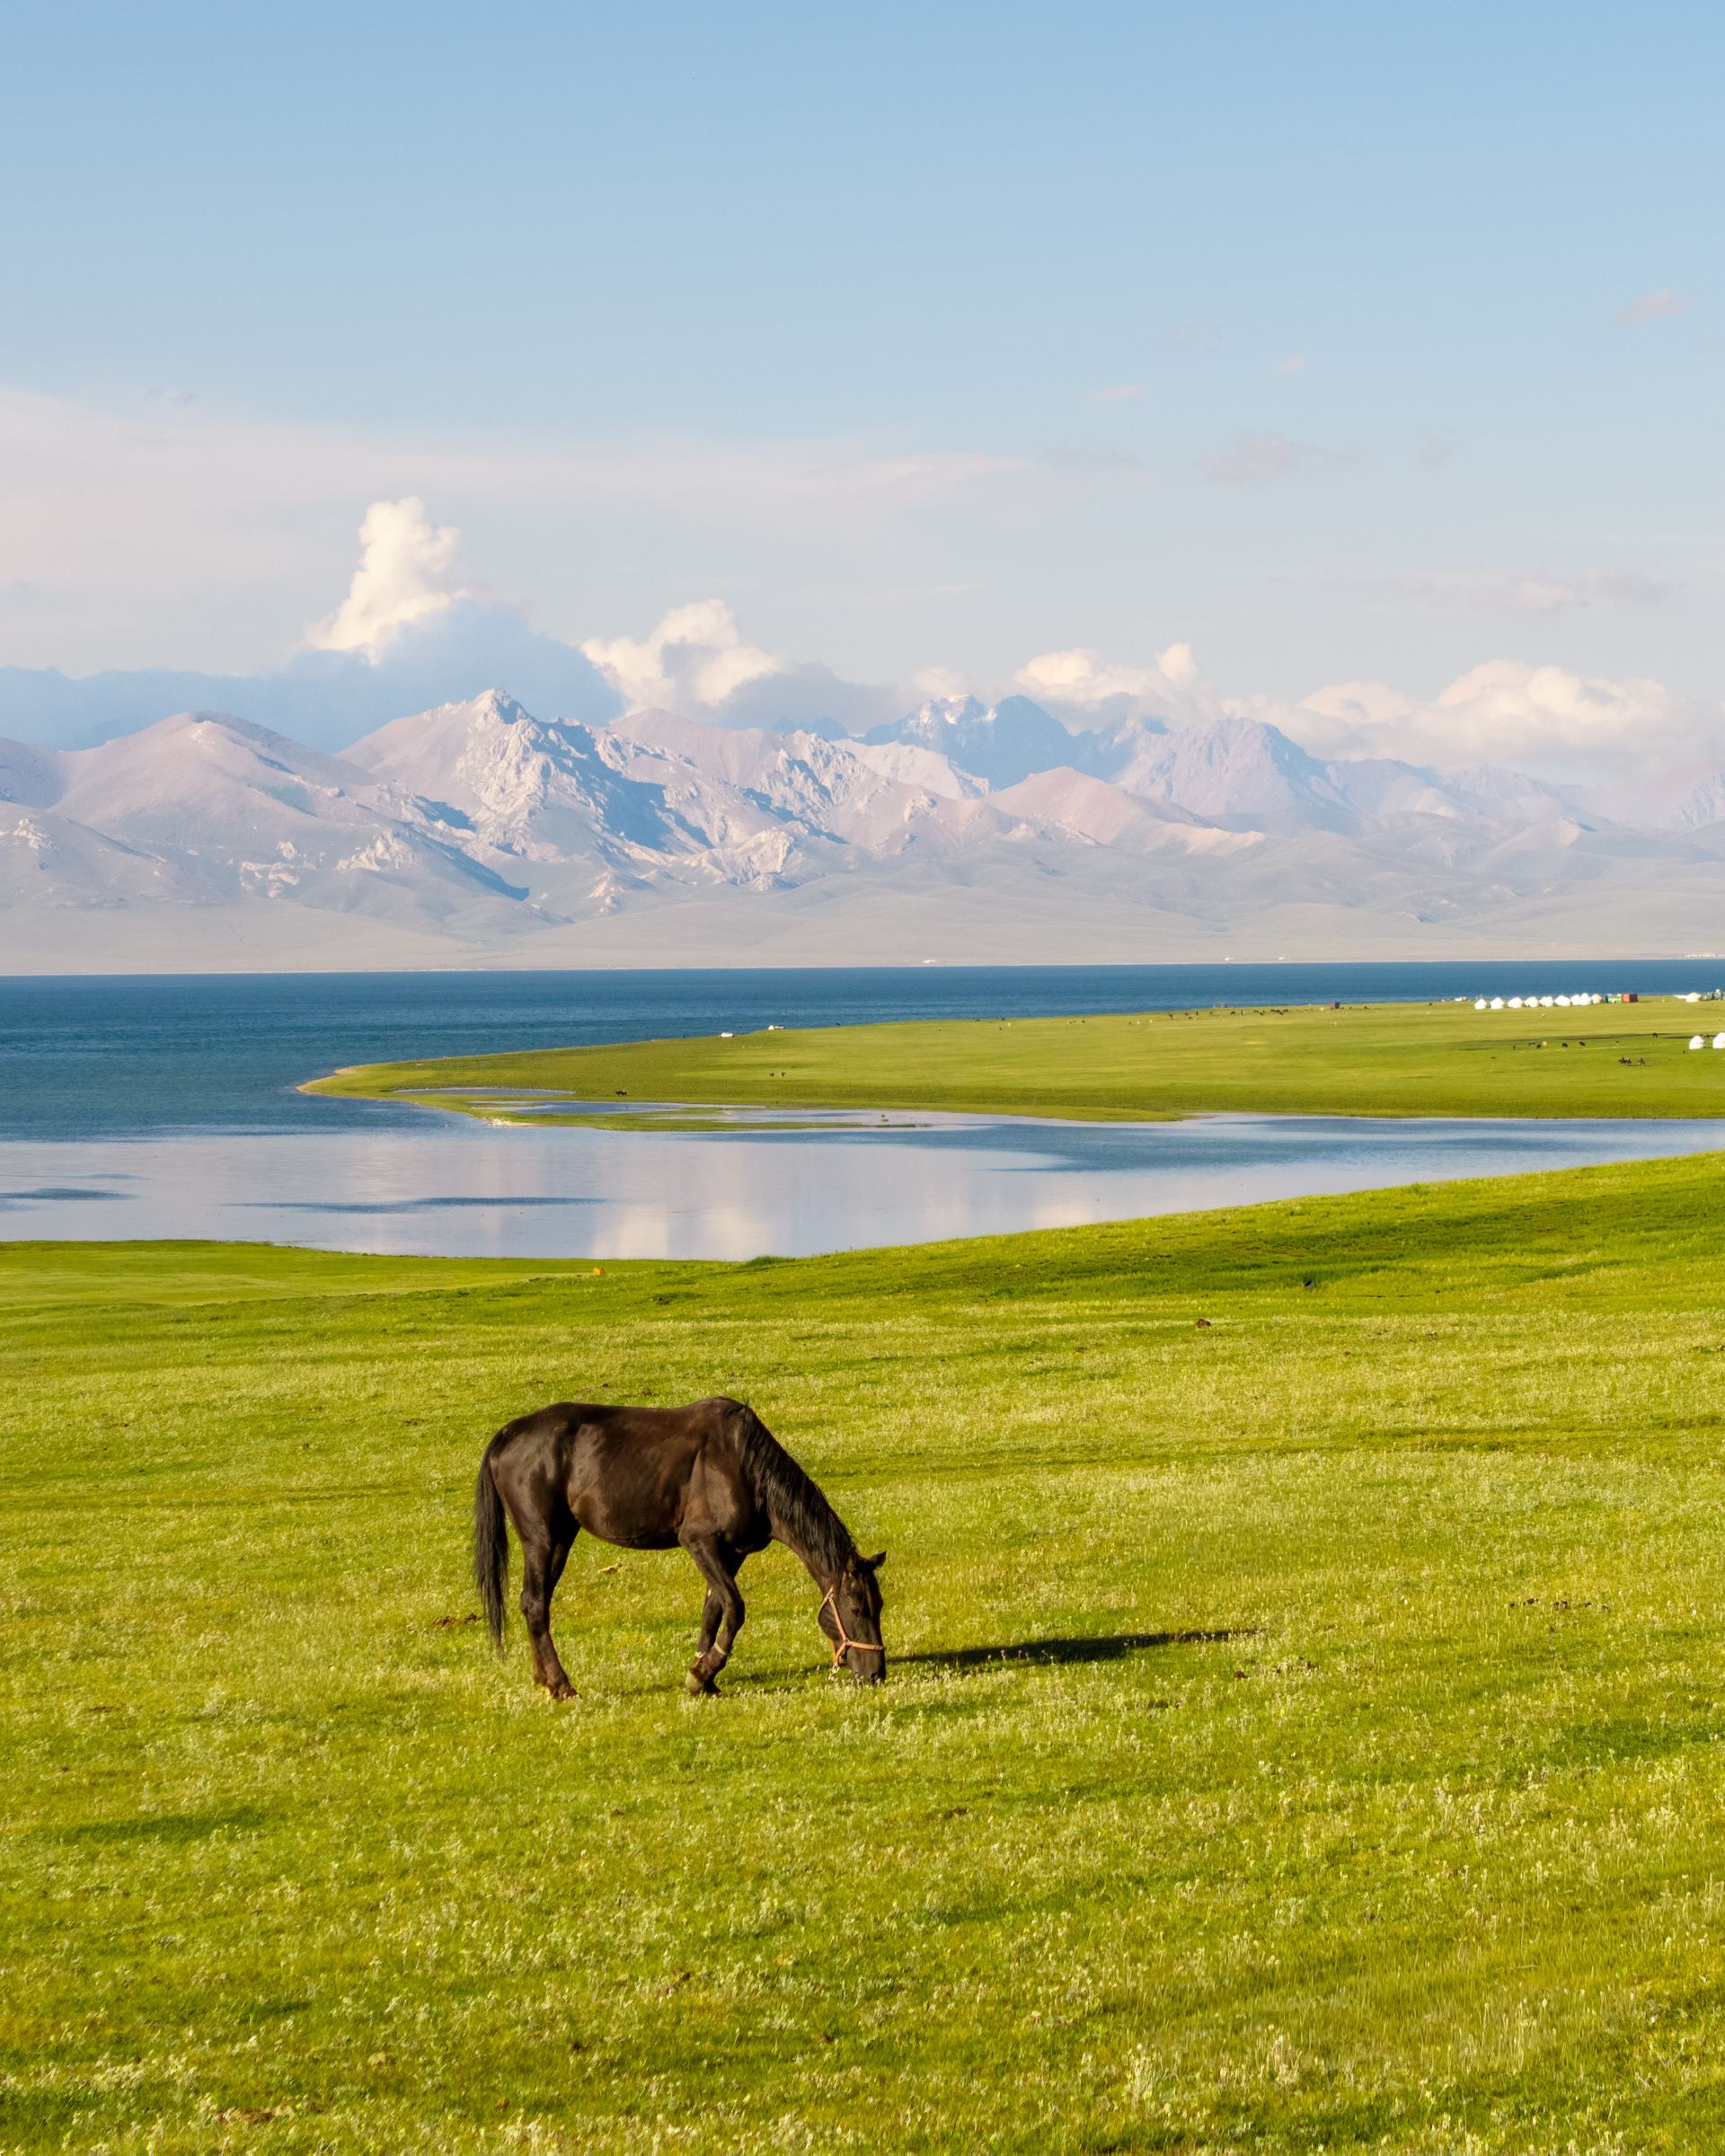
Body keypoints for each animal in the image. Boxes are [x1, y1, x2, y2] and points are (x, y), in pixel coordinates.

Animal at [473, 1395, 886, 1697]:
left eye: (878, 1605)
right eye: (855, 1608)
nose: (876, 1674)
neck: (746, 1467)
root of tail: (509, 1433)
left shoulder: (732, 1553)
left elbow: (714, 1609)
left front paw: (704, 1676)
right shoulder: (699, 1542)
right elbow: (734, 1607)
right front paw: (704, 1671)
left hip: (560, 1538)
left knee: (535, 1603)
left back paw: (544, 1677)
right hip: (543, 1538)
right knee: (534, 1604)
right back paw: (561, 1684)